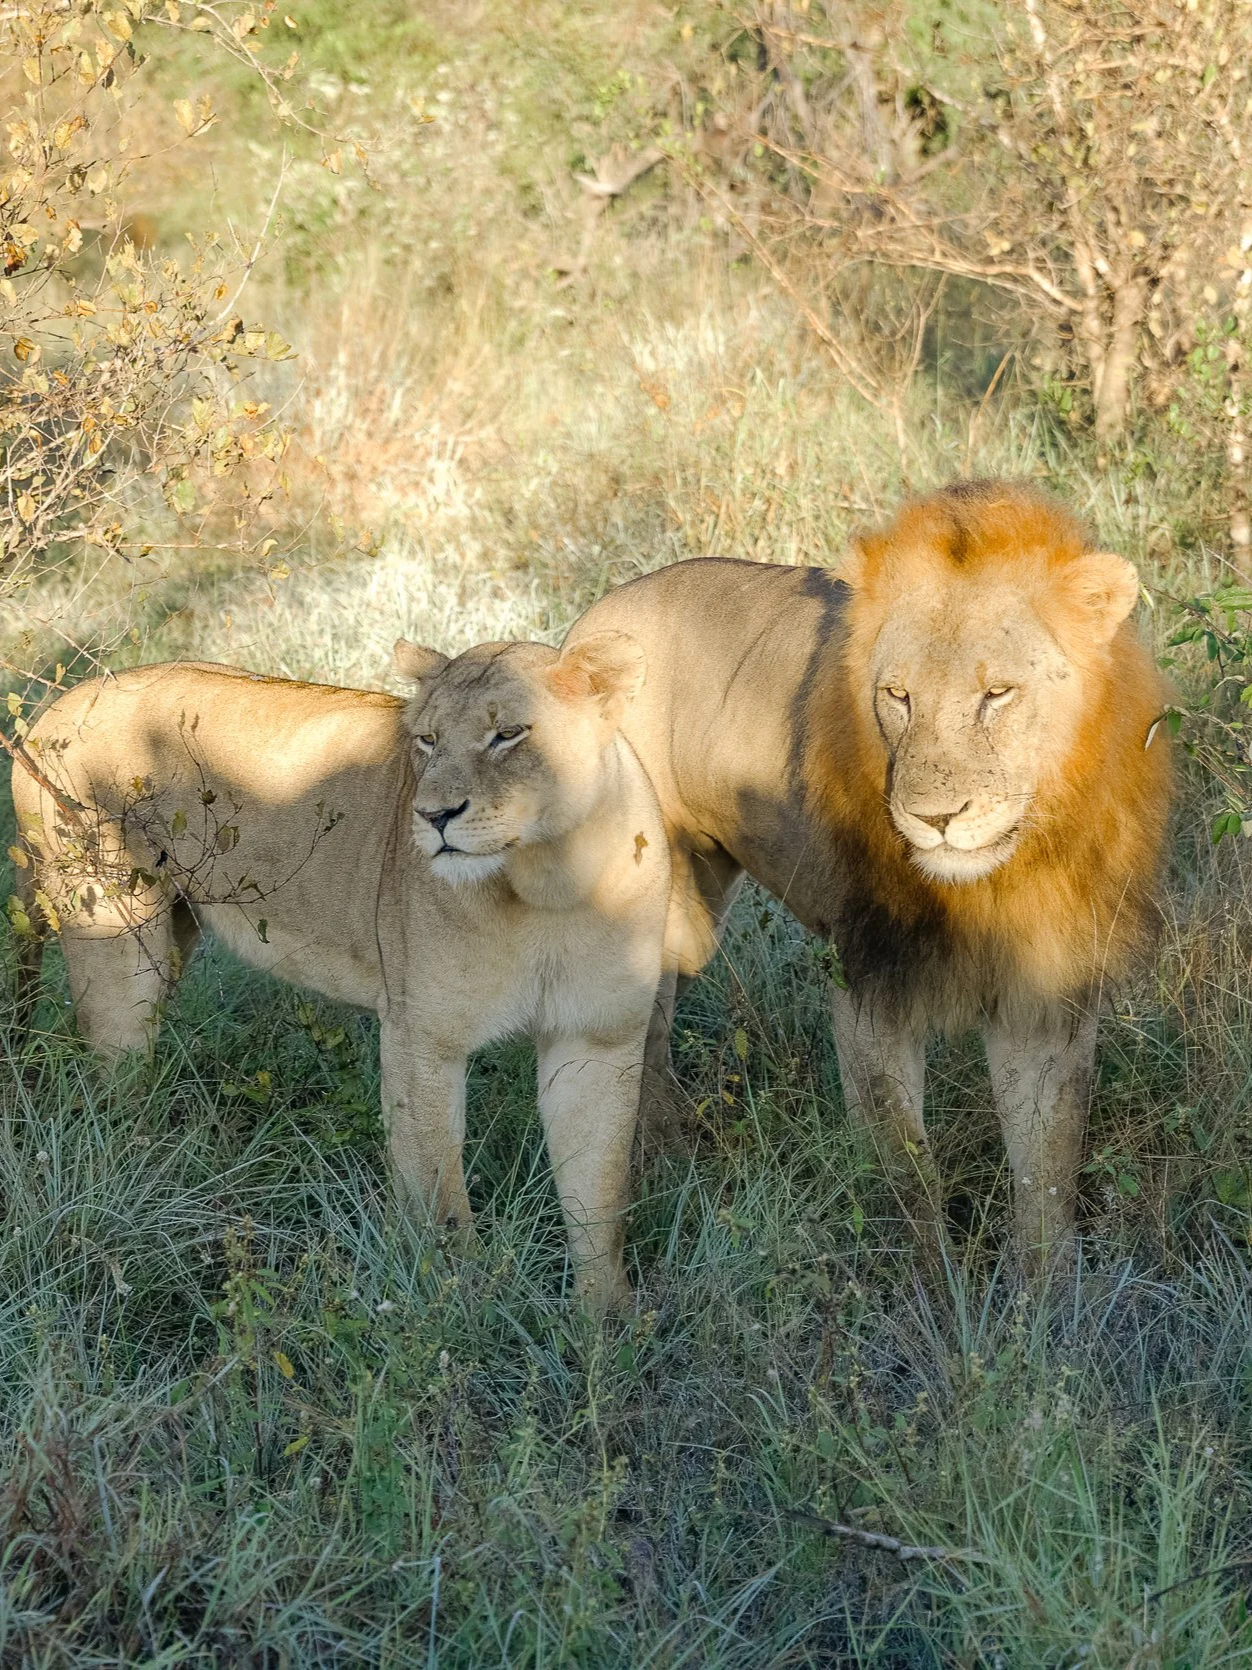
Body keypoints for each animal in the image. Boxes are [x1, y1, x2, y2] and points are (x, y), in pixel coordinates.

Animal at [10, 634, 669, 1312]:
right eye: (427, 740)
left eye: (508, 734)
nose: (433, 816)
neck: (550, 884)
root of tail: (53, 706)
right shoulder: (422, 1039)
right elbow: (440, 1199)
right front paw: (462, 1306)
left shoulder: (599, 1038)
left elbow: (599, 1189)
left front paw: (607, 1320)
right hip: (115, 935)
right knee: (113, 1084)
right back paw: (144, 1176)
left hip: (173, 933)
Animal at [566, 480, 1173, 1267]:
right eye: (898, 695)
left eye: (998, 694)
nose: (935, 818)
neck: (997, 880)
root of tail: (589, 621)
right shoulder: (866, 982)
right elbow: (905, 1167)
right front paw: (932, 1286)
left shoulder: (1046, 994)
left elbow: (1047, 1174)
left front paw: (1043, 1295)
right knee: (639, 1041)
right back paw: (668, 1169)